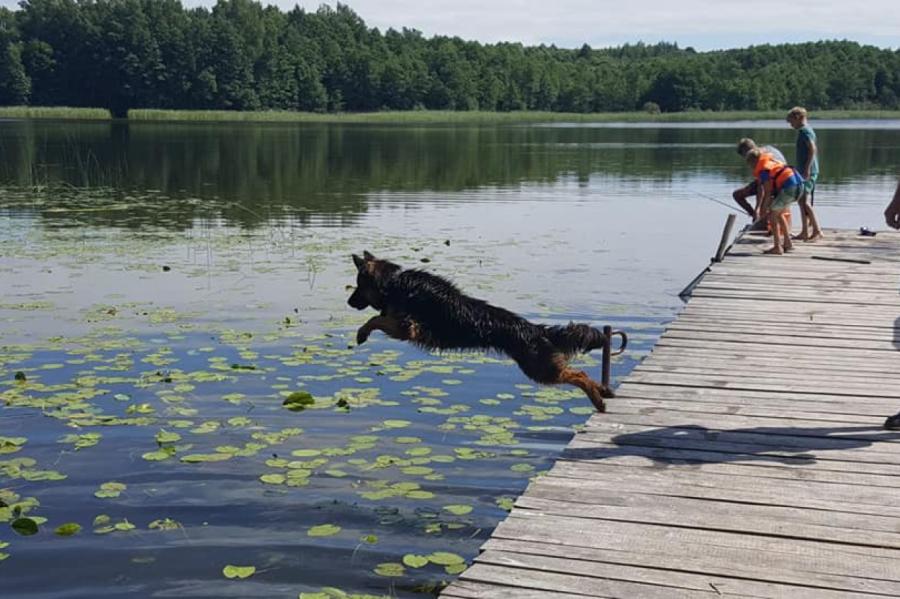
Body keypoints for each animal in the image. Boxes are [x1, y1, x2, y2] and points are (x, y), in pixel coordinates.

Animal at [346, 250, 624, 412]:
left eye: (358, 286)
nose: (348, 302)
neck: (393, 282)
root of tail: (535, 330)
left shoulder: (408, 328)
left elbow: (375, 319)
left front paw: (361, 333)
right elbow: (377, 318)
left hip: (540, 371)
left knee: (579, 374)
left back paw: (598, 398)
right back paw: (603, 391)